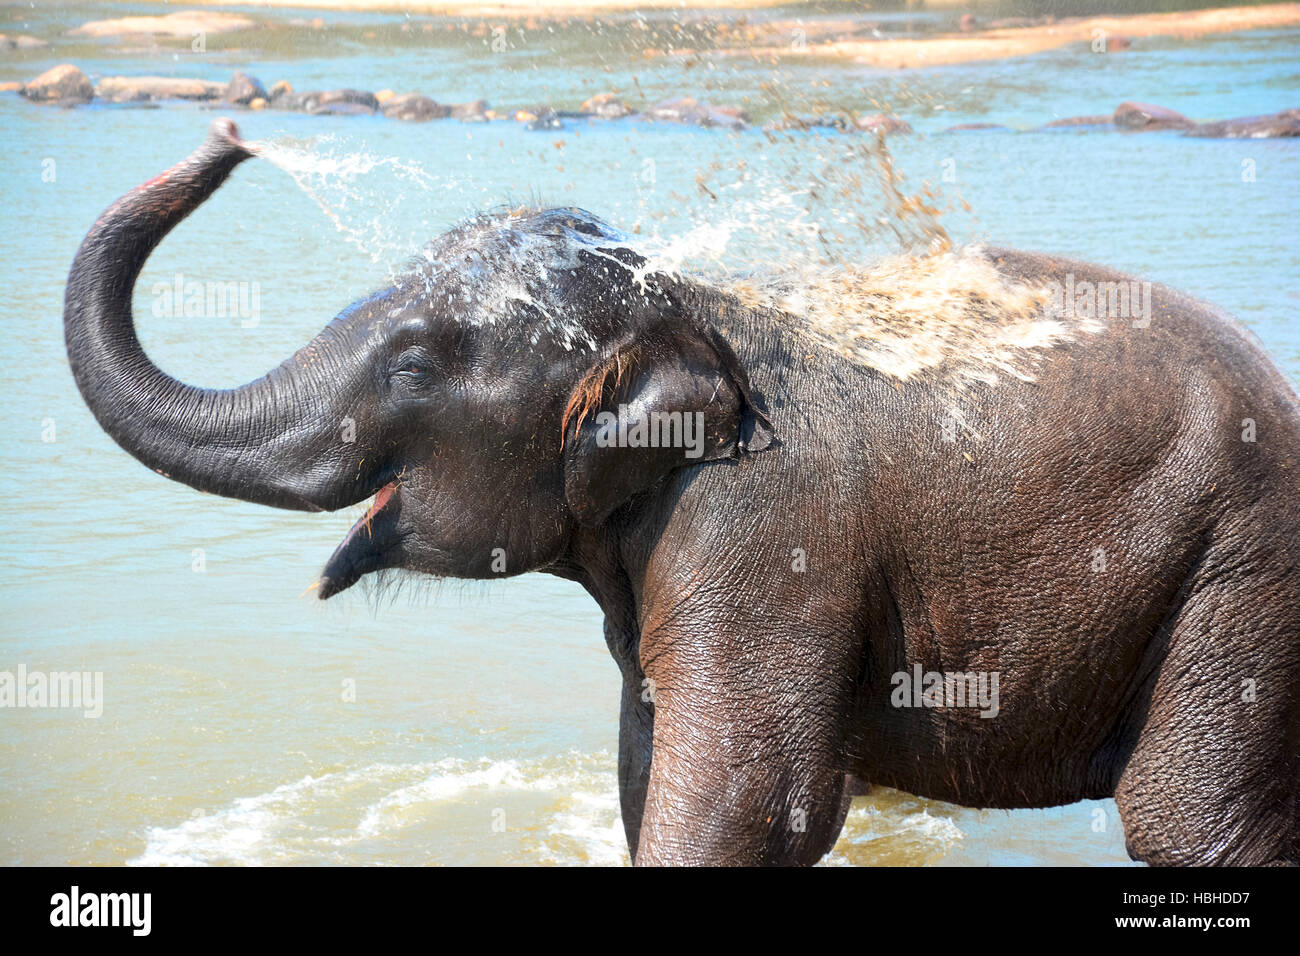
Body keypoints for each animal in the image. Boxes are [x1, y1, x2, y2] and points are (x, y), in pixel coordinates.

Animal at [63, 119, 1300, 868]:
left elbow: (744, 805)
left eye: (413, 365)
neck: (690, 308)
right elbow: (643, 769)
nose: (231, 132)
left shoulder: (762, 535)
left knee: (1193, 826)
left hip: (1240, 573)